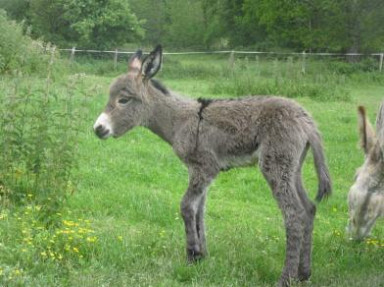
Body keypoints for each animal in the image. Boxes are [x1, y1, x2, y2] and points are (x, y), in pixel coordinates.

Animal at [94, 46, 332, 286]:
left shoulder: (205, 167)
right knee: (309, 208)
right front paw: (203, 256)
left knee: (294, 214)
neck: (178, 120)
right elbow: (199, 210)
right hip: (293, 168)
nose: (98, 129)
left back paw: (286, 278)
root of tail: (306, 120)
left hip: (275, 165)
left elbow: (186, 206)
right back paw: (304, 273)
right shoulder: (198, 171)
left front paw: (192, 255)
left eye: (124, 100)